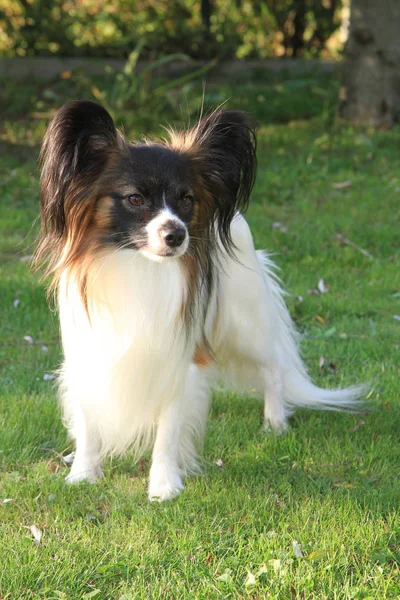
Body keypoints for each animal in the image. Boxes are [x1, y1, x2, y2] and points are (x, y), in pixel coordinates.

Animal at [35, 102, 366, 502]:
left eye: (186, 200)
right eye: (135, 199)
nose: (177, 235)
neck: (139, 266)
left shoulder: (178, 361)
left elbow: (167, 431)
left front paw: (163, 486)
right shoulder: (87, 354)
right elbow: (88, 421)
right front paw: (84, 474)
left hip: (246, 325)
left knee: (273, 367)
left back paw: (275, 423)